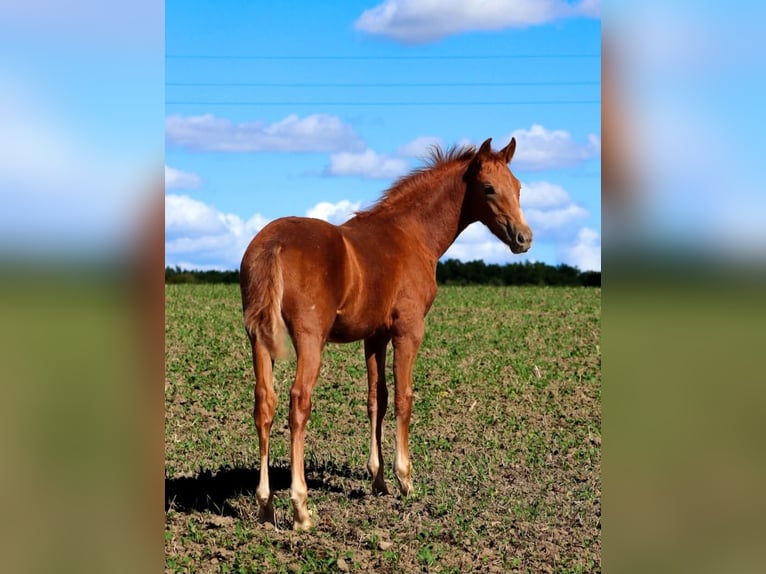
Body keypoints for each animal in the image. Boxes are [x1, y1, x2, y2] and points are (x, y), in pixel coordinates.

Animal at [239, 136, 532, 530]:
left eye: (518, 187)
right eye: (488, 188)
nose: (524, 238)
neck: (411, 234)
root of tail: (274, 244)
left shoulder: (374, 335)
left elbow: (376, 399)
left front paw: (377, 479)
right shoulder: (408, 329)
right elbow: (403, 398)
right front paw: (404, 478)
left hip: (258, 338)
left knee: (264, 404)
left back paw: (265, 504)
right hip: (309, 340)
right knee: (298, 403)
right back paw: (300, 507)